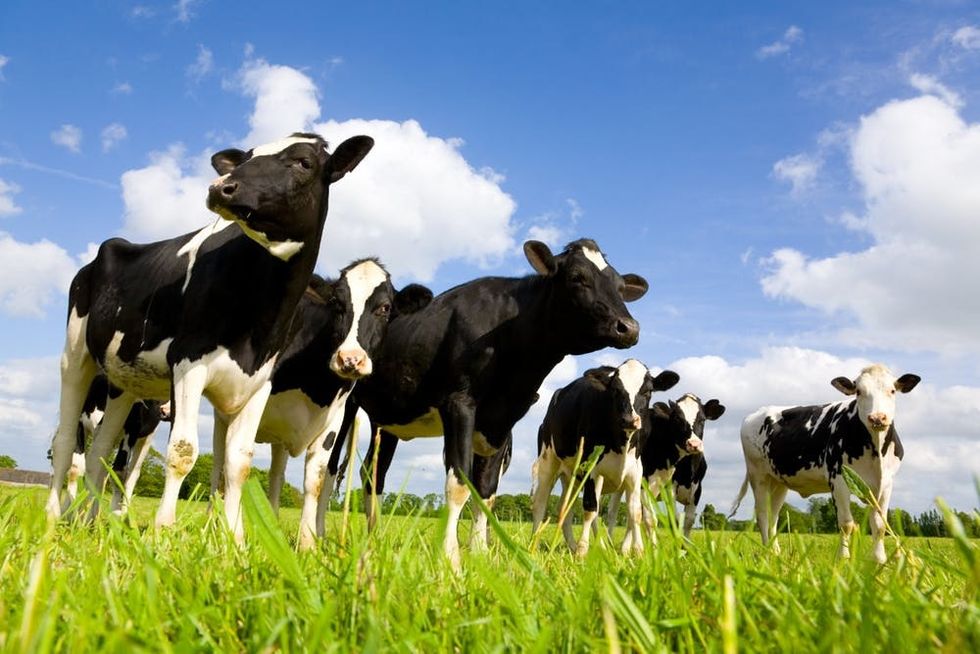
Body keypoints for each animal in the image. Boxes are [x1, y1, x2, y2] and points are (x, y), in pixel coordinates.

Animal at [46, 132, 374, 543]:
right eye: (246, 158)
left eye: (304, 162)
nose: (221, 187)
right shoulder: (188, 364)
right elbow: (183, 452)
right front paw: (163, 531)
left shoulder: (259, 381)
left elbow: (238, 463)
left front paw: (235, 539)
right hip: (76, 356)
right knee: (64, 443)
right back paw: (52, 516)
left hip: (123, 383)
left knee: (100, 453)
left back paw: (86, 523)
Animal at [347, 238, 649, 570]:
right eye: (577, 277)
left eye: (620, 286)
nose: (629, 327)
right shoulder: (459, 403)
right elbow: (459, 484)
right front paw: (451, 557)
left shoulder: (502, 421)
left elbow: (486, 490)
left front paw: (480, 553)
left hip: (387, 423)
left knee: (372, 475)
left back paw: (373, 537)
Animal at [530, 359, 679, 556]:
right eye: (615, 390)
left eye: (648, 391)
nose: (629, 420)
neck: (622, 444)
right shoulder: (591, 469)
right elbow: (590, 509)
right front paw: (582, 551)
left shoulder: (635, 472)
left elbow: (635, 512)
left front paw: (639, 552)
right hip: (549, 462)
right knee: (540, 503)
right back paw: (533, 545)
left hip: (572, 476)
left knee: (565, 508)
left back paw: (573, 546)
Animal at [606, 393, 725, 545]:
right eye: (677, 419)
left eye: (702, 419)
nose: (694, 444)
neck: (687, 469)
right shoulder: (659, 485)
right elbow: (668, 519)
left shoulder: (697, 489)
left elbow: (688, 520)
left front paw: (685, 547)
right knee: (613, 511)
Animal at [730, 364, 920, 563]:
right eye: (859, 391)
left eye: (892, 390)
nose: (877, 418)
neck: (876, 454)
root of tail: (756, 413)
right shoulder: (838, 479)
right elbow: (846, 523)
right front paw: (843, 559)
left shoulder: (886, 484)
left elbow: (880, 524)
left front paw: (879, 560)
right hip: (758, 475)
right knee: (762, 515)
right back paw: (767, 553)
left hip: (778, 481)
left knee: (774, 516)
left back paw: (775, 552)